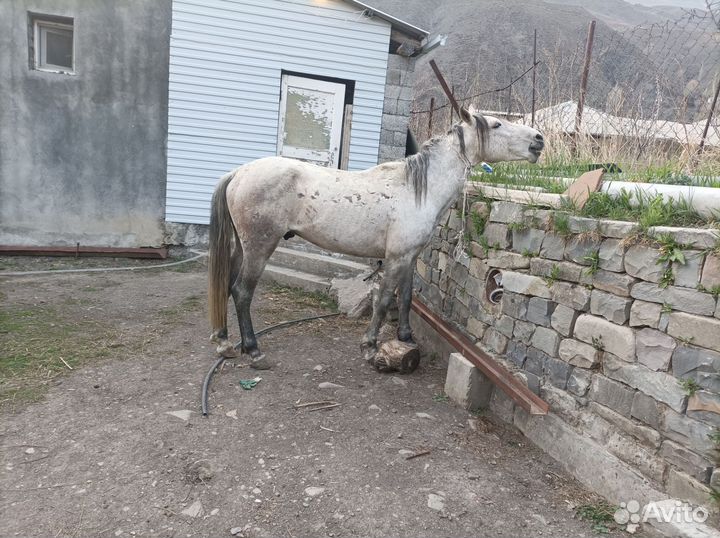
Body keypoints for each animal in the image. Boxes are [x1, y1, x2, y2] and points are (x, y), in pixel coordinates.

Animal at [207, 105, 544, 369]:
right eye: (497, 124)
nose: (539, 140)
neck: (418, 189)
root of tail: (238, 173)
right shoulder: (395, 259)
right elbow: (383, 300)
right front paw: (369, 346)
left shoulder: (409, 257)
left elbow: (405, 298)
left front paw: (406, 337)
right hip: (260, 247)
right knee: (242, 291)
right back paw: (253, 351)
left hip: (242, 247)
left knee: (227, 285)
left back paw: (225, 343)